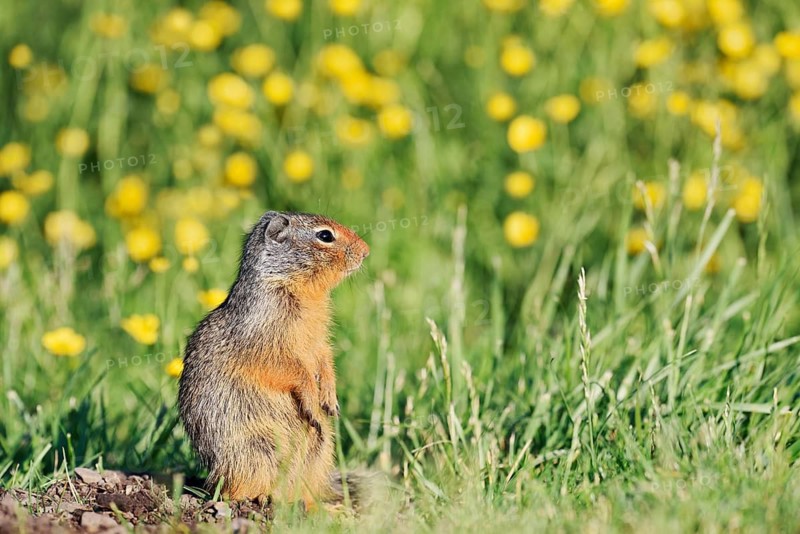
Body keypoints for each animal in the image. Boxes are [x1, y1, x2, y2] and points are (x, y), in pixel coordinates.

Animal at [178, 210, 369, 509]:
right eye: (325, 235)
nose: (366, 251)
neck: (301, 290)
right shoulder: (266, 340)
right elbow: (293, 370)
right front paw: (314, 403)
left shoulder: (319, 340)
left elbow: (324, 359)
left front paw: (330, 399)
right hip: (256, 450)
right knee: (237, 490)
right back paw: (264, 499)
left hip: (322, 449)